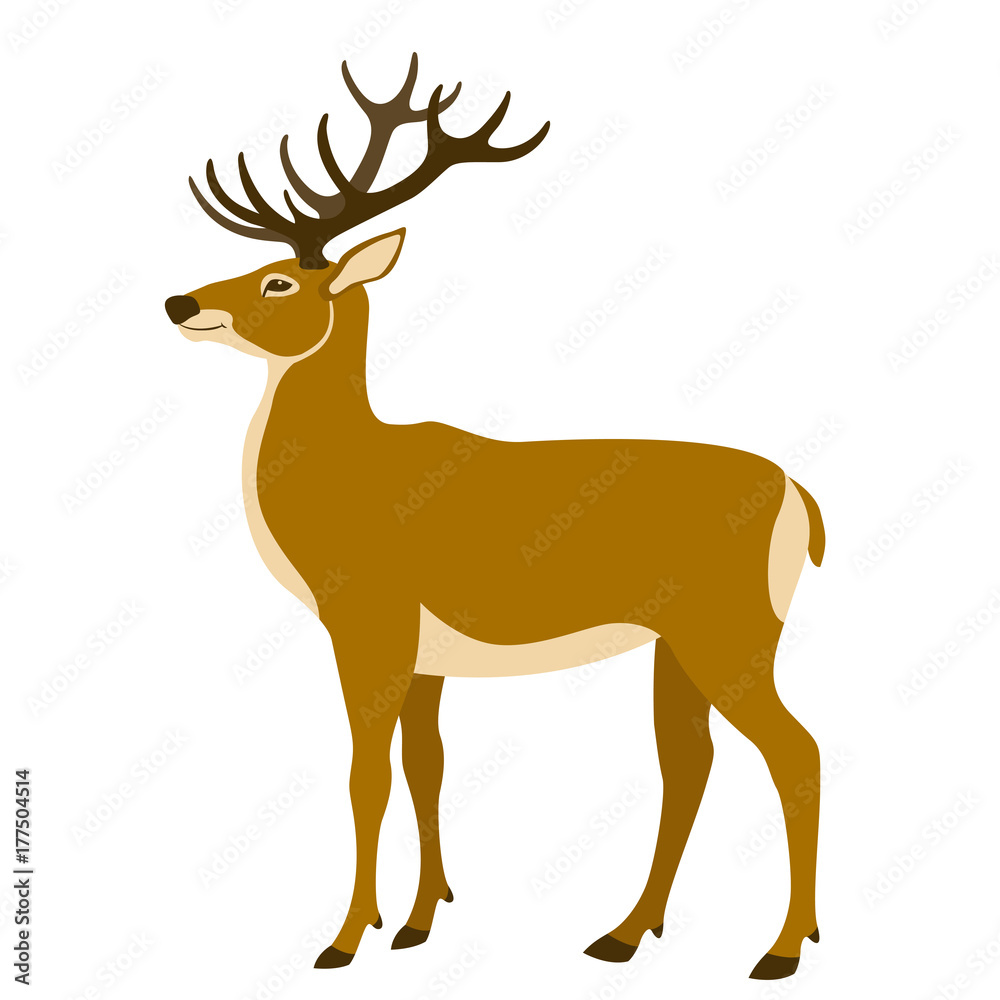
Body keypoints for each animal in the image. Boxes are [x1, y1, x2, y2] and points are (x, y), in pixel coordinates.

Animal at [164, 54, 826, 981]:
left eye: (279, 279)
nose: (179, 304)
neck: (351, 471)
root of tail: (801, 496)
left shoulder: (368, 620)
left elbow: (367, 774)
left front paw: (344, 937)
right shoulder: (425, 654)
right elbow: (426, 767)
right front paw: (418, 921)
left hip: (731, 629)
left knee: (795, 752)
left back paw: (781, 949)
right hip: (679, 642)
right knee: (689, 762)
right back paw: (624, 934)